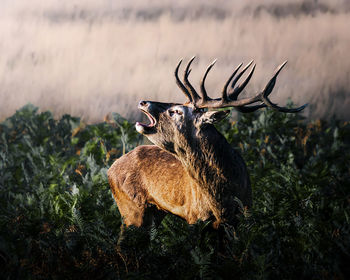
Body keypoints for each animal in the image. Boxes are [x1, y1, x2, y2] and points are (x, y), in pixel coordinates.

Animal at [107, 55, 306, 244]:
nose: (143, 102)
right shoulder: (194, 218)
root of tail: (110, 169)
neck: (223, 203)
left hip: (152, 212)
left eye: (176, 111)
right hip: (131, 210)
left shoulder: (242, 217)